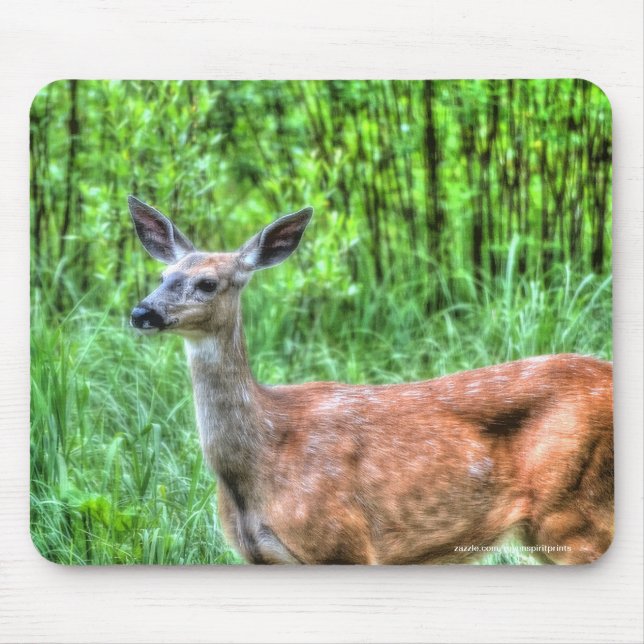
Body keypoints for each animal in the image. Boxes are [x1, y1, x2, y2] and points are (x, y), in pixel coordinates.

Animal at [128, 196, 614, 565]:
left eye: (208, 283)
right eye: (162, 276)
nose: (141, 312)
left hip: (576, 514)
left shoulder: (342, 543)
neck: (260, 457)